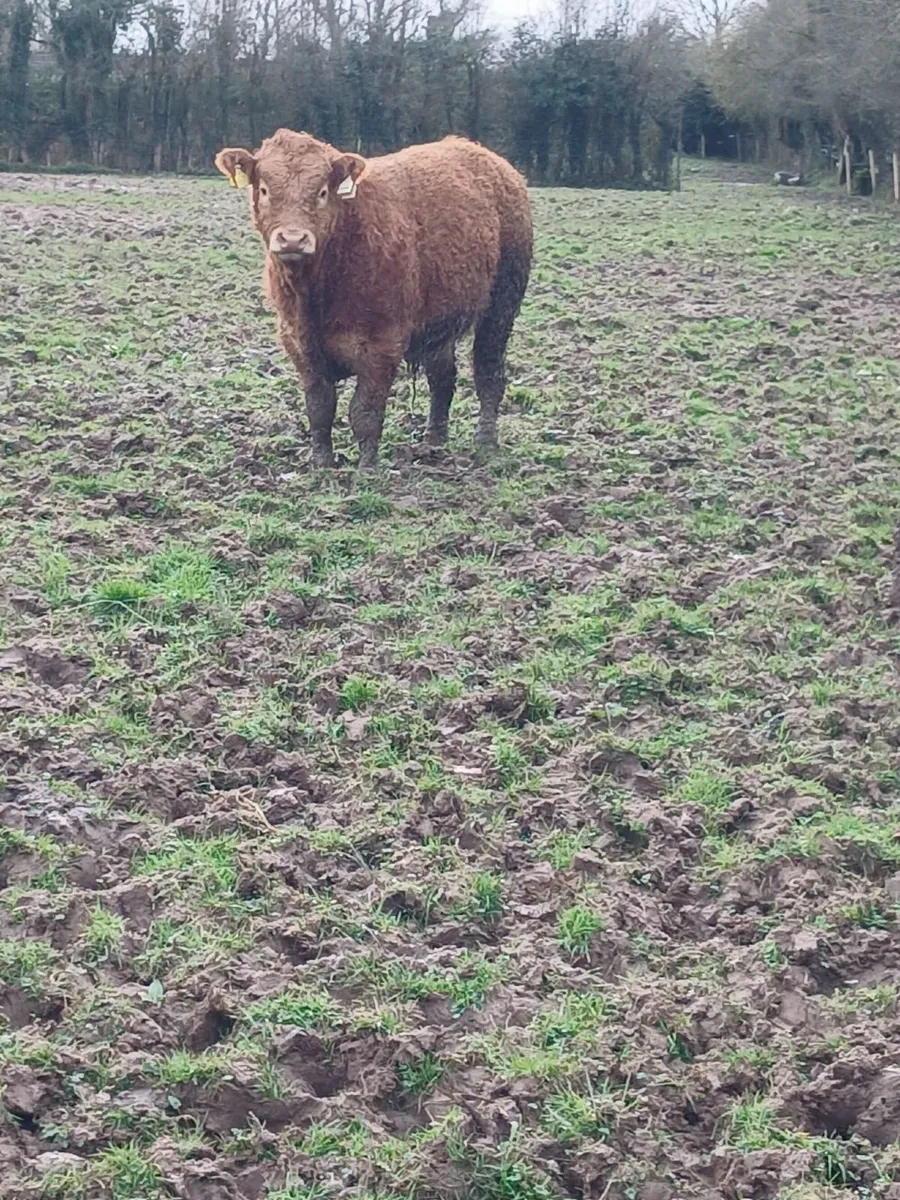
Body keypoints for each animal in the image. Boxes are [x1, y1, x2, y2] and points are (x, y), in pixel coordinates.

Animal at [215, 129, 533, 469]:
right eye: (264, 189)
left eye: (323, 191)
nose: (292, 239)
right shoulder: (298, 343)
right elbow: (319, 408)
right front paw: (321, 464)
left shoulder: (384, 343)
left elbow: (364, 411)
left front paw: (367, 467)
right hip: (438, 323)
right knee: (443, 378)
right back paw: (433, 440)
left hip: (502, 304)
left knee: (488, 372)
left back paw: (486, 441)